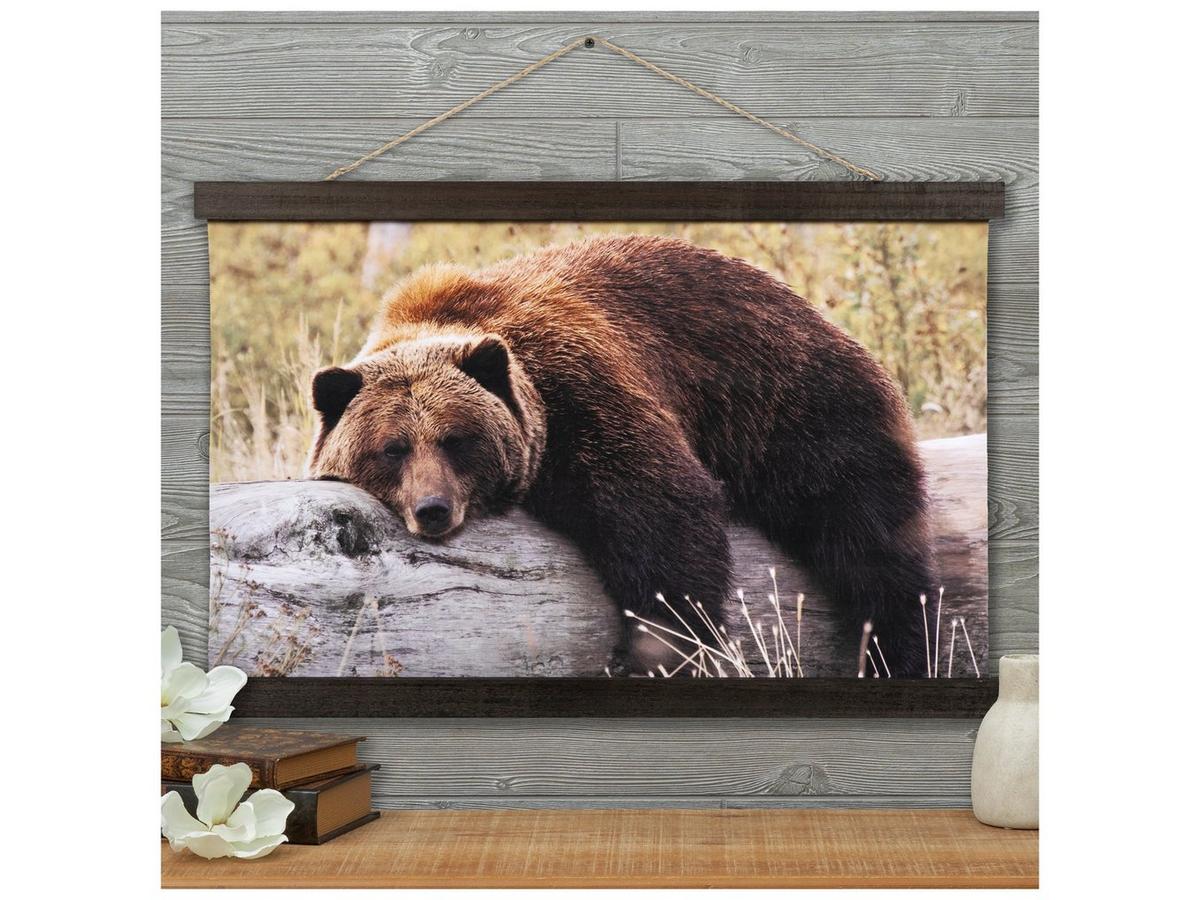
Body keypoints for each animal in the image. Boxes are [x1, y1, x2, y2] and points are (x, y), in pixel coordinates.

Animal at [307, 234, 934, 676]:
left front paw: (651, 652)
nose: (433, 509)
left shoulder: (579, 393)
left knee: (868, 537)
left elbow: (662, 514)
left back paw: (895, 648)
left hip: (791, 408)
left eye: (456, 439)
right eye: (392, 448)